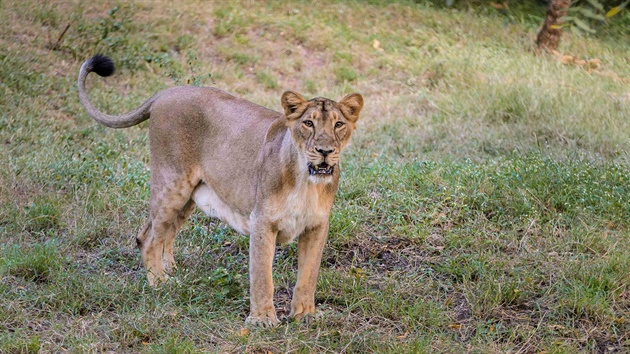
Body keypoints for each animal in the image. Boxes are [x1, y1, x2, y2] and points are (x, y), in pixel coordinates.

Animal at [78, 54, 366, 324]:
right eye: (308, 123)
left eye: (338, 124)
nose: (325, 151)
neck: (306, 181)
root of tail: (166, 92)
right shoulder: (262, 221)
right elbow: (262, 276)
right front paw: (262, 320)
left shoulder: (317, 225)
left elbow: (308, 275)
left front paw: (304, 315)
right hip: (172, 183)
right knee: (148, 238)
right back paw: (160, 283)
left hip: (187, 196)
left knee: (160, 232)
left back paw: (171, 271)